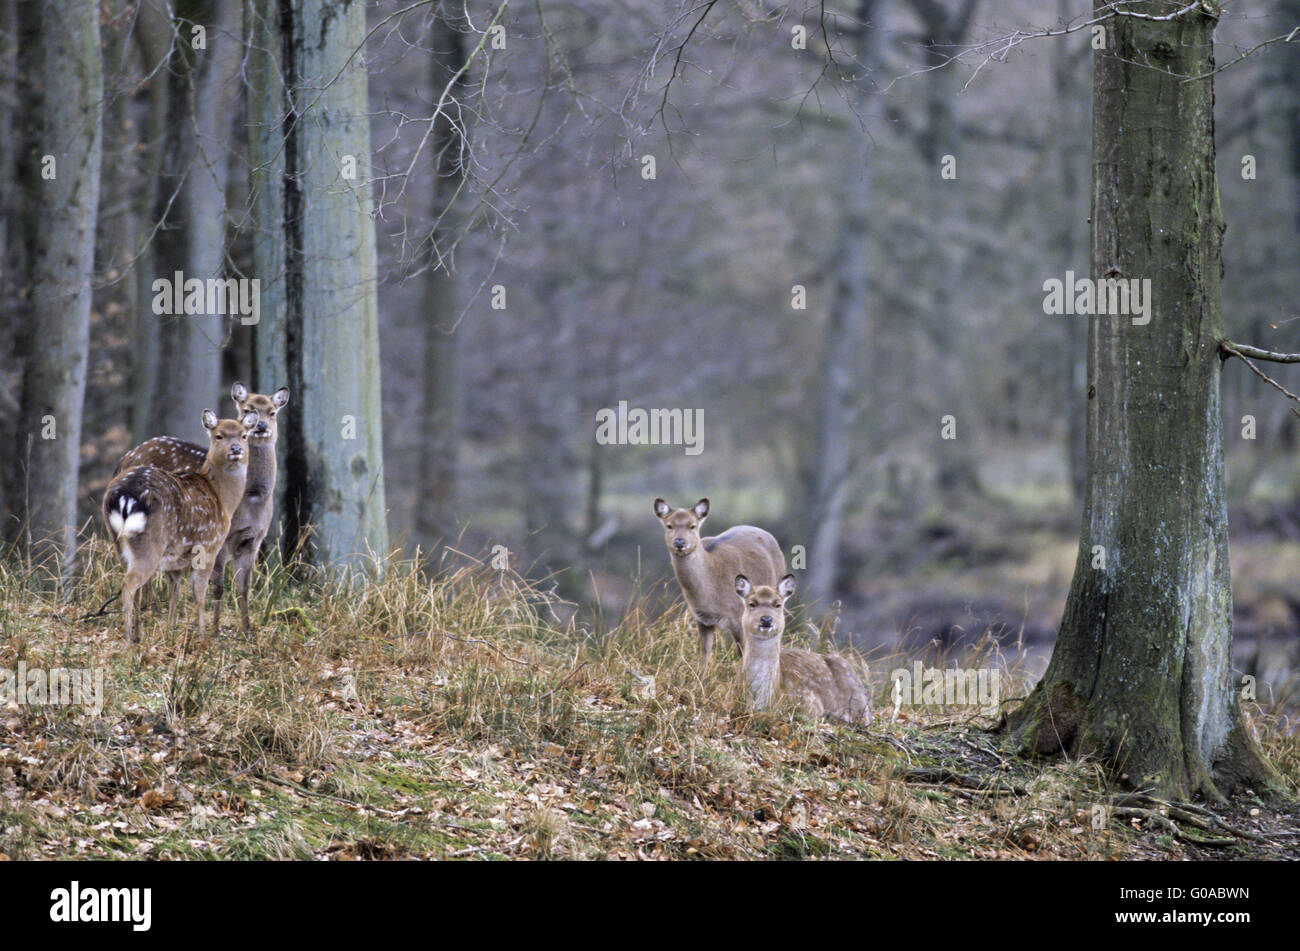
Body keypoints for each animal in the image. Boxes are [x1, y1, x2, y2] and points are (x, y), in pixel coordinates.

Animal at [102, 410, 257, 641]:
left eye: (244, 435)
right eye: (219, 436)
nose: (236, 449)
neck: (222, 498)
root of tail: (124, 496)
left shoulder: (175, 557)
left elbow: (175, 591)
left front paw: (170, 632)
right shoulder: (209, 545)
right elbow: (199, 593)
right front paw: (203, 636)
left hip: (118, 541)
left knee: (134, 584)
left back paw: (137, 634)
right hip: (150, 542)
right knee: (129, 585)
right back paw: (129, 639)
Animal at [655, 498, 785, 659]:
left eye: (692, 526)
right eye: (669, 525)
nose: (679, 542)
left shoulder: (738, 616)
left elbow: (743, 654)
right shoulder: (702, 620)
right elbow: (704, 654)